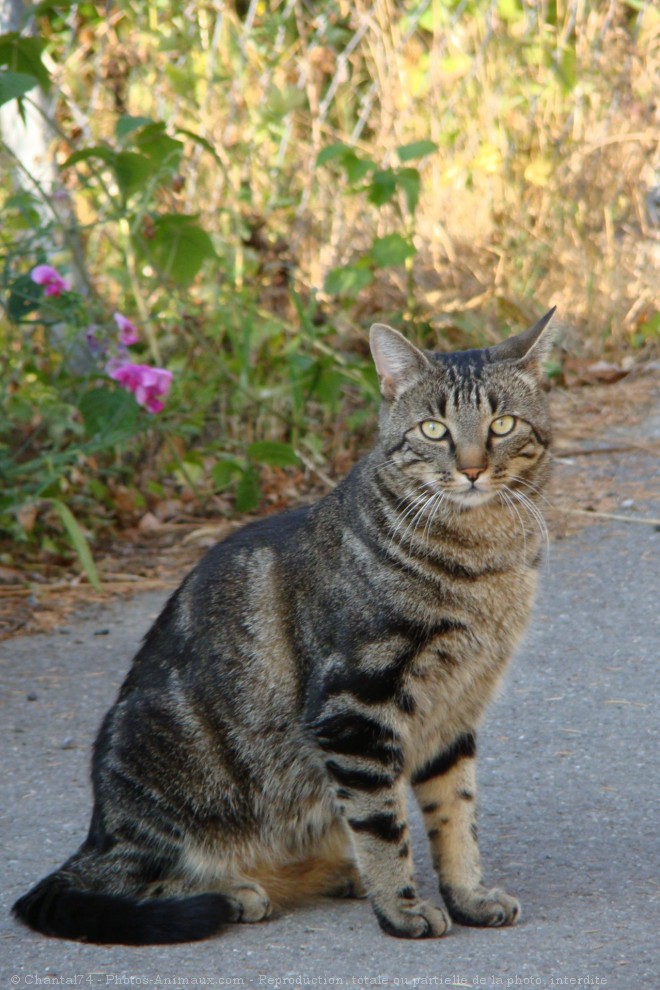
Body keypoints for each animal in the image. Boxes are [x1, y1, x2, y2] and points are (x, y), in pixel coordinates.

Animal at [11, 310, 556, 944]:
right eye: (433, 429)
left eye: (502, 424)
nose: (471, 469)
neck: (483, 558)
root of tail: (96, 833)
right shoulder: (354, 709)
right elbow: (382, 828)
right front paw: (401, 909)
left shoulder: (454, 714)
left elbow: (456, 820)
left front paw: (468, 895)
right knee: (132, 877)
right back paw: (237, 890)